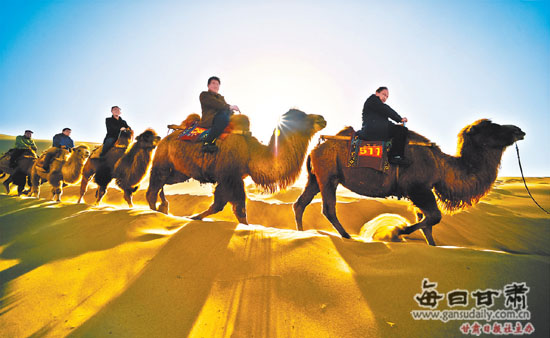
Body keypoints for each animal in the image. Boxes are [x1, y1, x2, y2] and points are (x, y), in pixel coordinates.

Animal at [147, 109, 328, 223]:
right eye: (301, 117)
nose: (322, 118)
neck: (250, 152)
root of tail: (167, 136)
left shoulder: (231, 178)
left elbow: (220, 206)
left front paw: (193, 217)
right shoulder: (230, 177)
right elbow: (239, 210)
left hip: (180, 172)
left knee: (163, 183)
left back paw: (162, 206)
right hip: (162, 160)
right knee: (153, 188)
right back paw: (155, 210)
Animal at [296, 119, 528, 246]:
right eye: (491, 127)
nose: (519, 130)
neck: (441, 165)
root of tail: (316, 148)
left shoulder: (421, 193)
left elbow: (428, 223)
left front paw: (432, 246)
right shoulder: (419, 189)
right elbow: (434, 217)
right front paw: (397, 231)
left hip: (315, 177)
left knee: (301, 203)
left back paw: (300, 232)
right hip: (328, 175)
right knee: (328, 208)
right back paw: (347, 236)